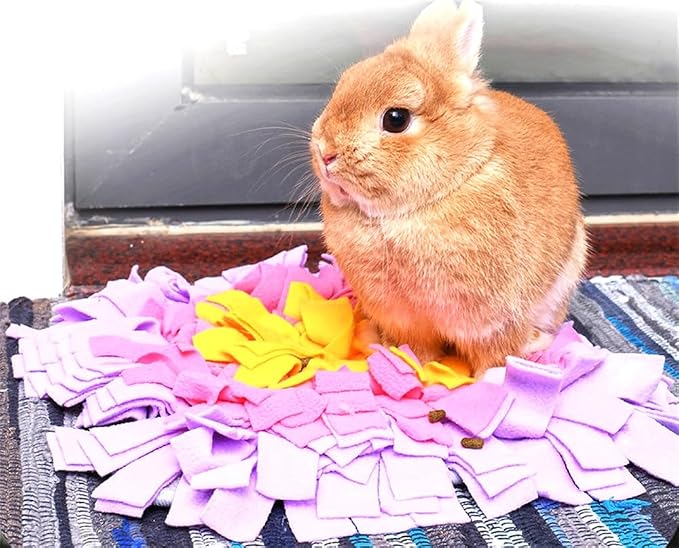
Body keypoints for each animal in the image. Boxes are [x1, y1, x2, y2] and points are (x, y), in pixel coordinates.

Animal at [309, 0, 588, 376]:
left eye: (396, 119)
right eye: (344, 83)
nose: (325, 151)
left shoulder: (493, 322)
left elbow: (494, 354)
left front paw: (489, 381)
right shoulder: (406, 320)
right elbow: (417, 348)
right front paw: (415, 366)